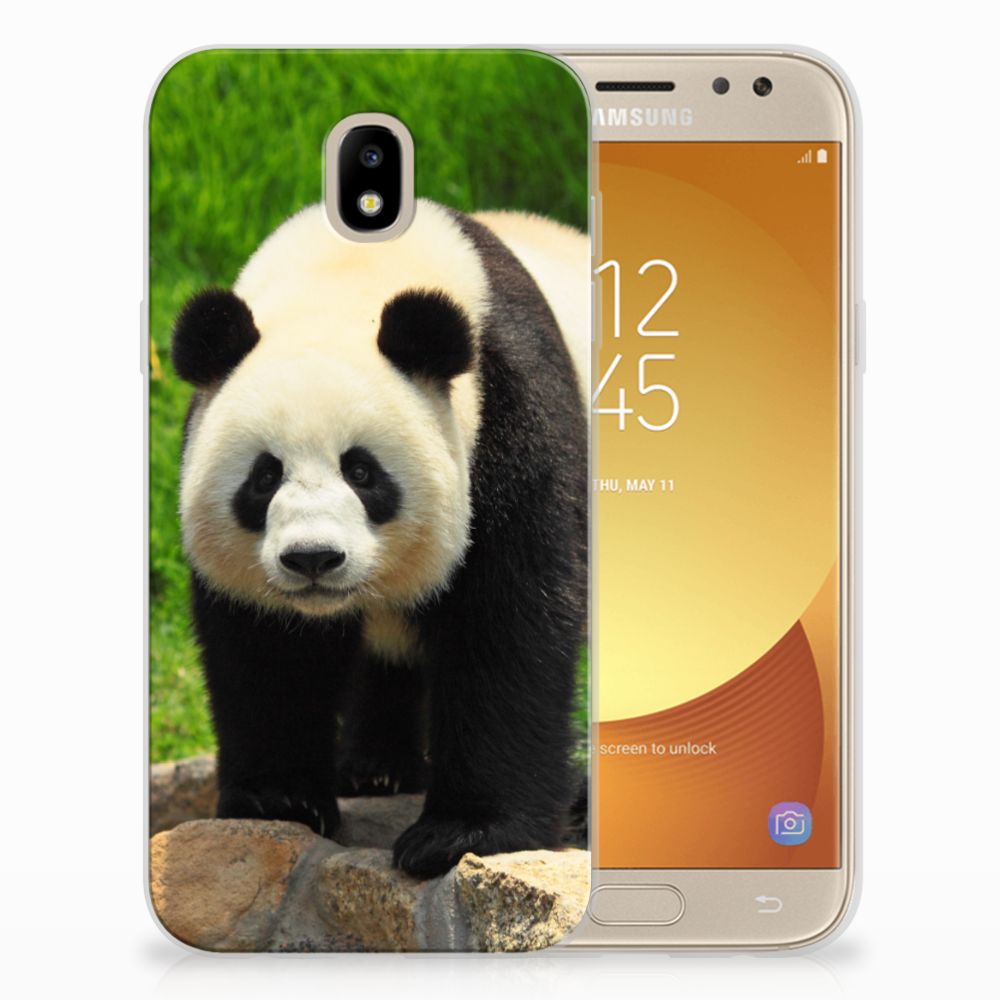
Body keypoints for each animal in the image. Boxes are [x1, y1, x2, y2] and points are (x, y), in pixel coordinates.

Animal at [171, 199, 589, 878]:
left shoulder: (511, 419)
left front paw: (463, 833)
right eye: (264, 476)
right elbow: (268, 648)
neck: (347, 276)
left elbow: (508, 624)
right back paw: (375, 769)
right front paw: (278, 799)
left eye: (362, 472)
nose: (313, 558)